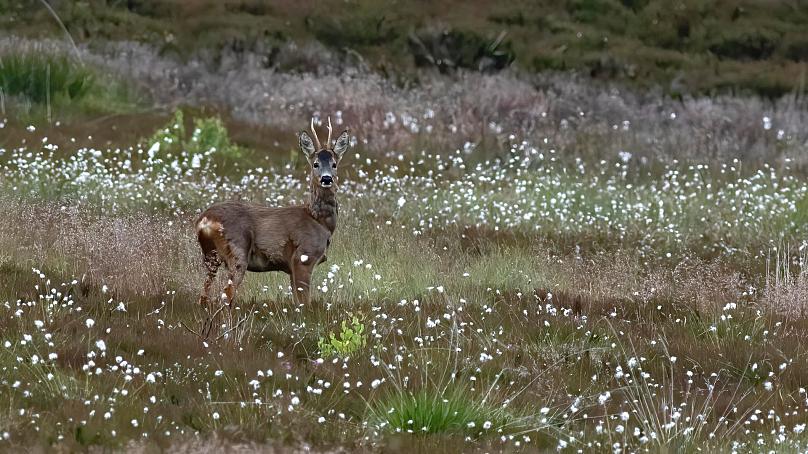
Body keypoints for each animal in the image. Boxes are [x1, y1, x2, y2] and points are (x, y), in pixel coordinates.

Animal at [196, 119, 350, 306]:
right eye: (315, 164)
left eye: (334, 164)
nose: (326, 179)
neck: (318, 221)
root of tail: (205, 220)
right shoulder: (303, 257)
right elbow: (305, 303)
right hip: (238, 251)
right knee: (227, 293)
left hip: (210, 257)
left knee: (204, 293)